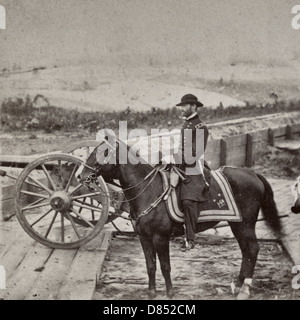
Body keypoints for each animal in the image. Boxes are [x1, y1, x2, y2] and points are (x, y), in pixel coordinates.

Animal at [78, 138, 284, 300]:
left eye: (102, 153)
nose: (80, 176)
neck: (149, 190)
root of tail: (253, 173)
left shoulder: (160, 238)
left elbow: (165, 266)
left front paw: (169, 292)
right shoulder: (144, 238)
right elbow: (150, 265)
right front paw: (151, 292)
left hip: (246, 225)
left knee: (253, 249)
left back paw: (245, 289)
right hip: (237, 224)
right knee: (246, 251)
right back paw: (238, 284)